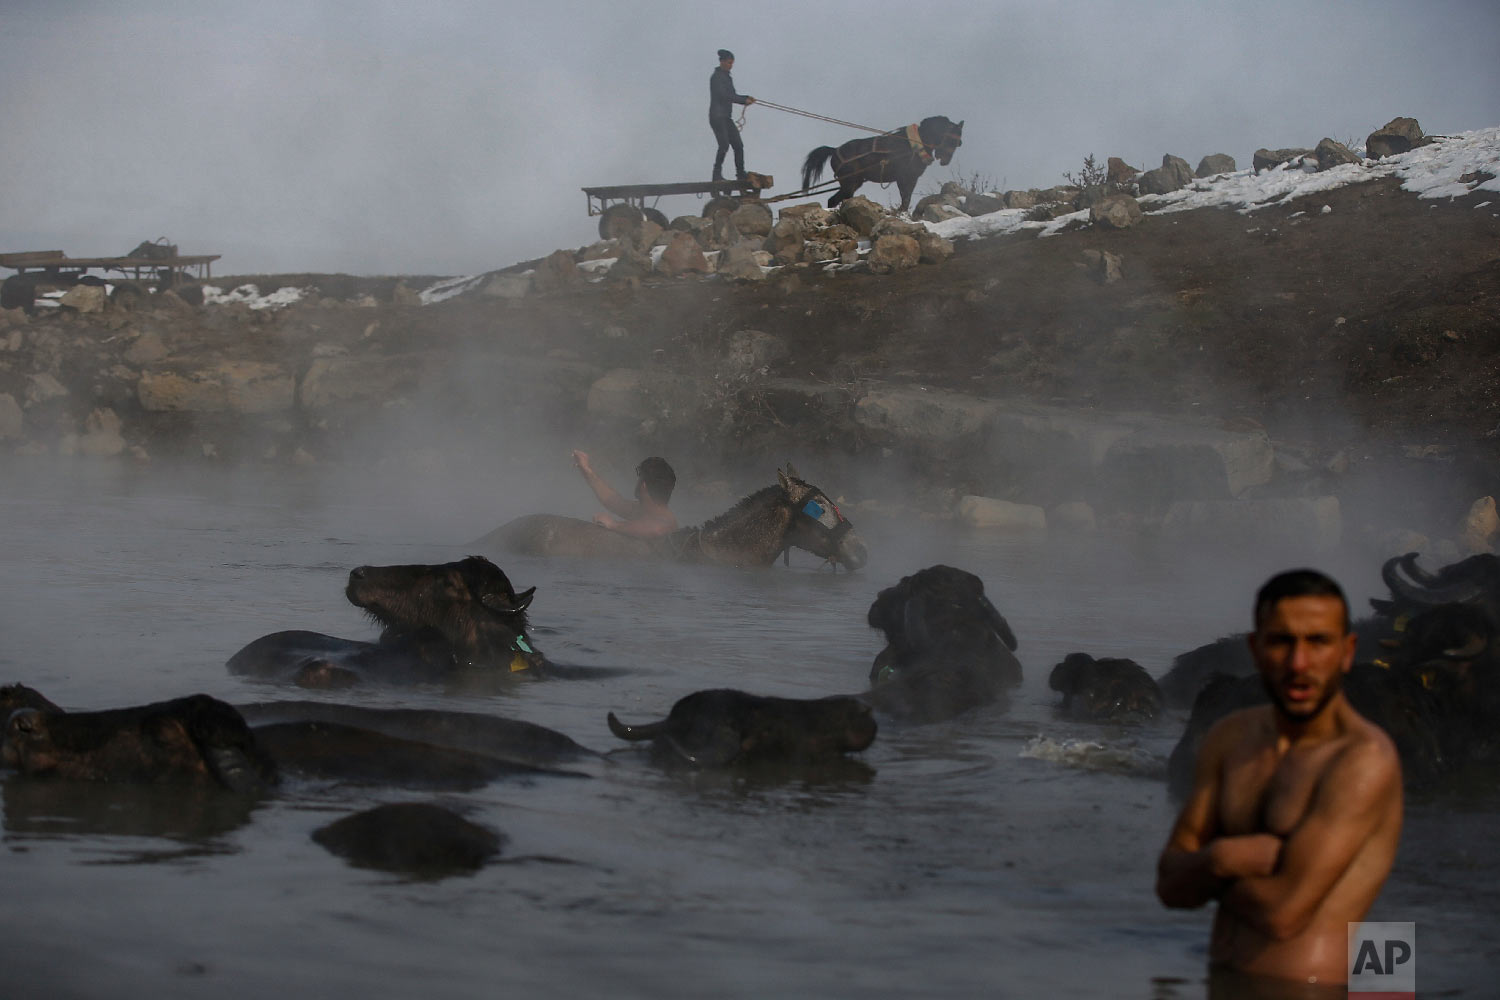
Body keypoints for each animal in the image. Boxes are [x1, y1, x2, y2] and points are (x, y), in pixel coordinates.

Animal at [804, 116, 966, 212]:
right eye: (951, 139)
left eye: (958, 142)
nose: (945, 160)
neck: (913, 145)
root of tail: (835, 150)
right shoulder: (906, 178)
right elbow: (905, 199)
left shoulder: (910, 179)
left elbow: (906, 199)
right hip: (849, 182)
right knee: (835, 200)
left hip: (854, 182)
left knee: (835, 200)